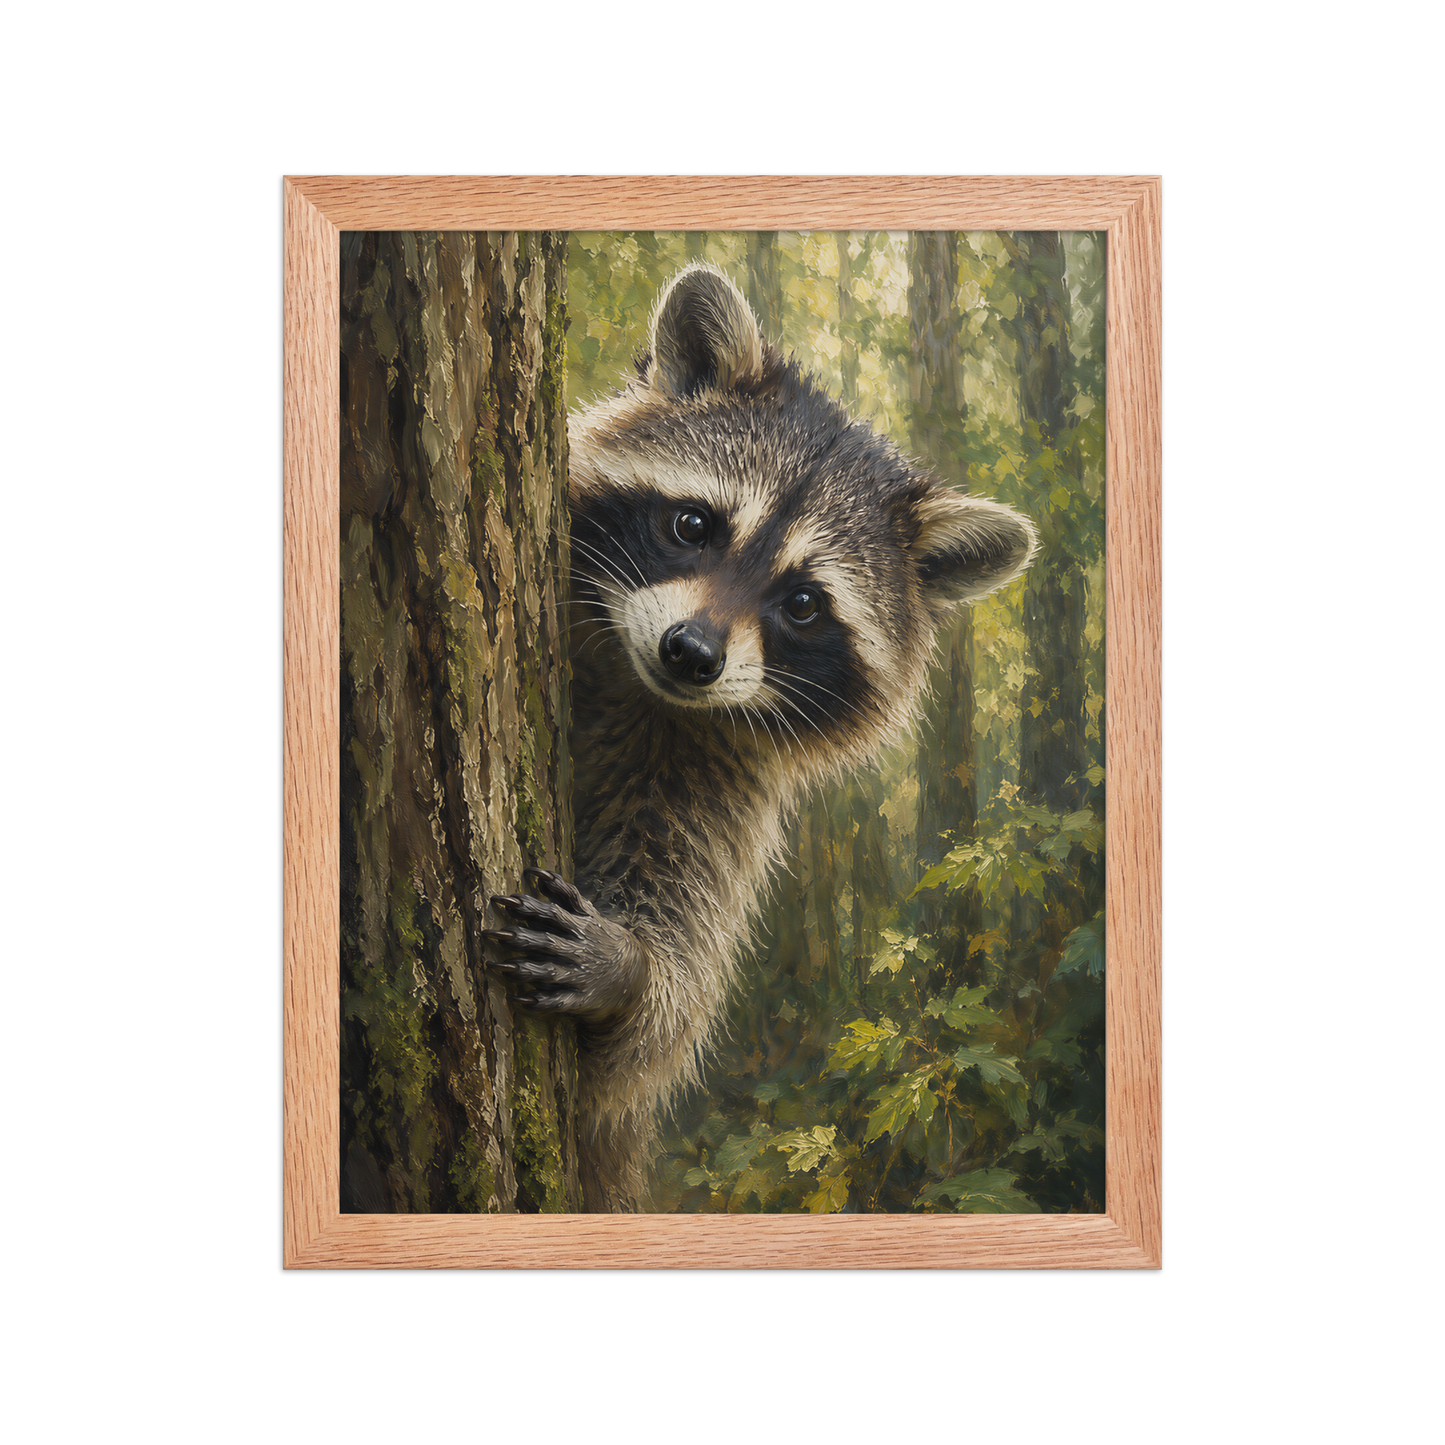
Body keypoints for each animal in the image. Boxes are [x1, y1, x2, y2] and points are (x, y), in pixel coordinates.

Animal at [483, 262, 1038, 1211]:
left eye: (804, 603)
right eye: (693, 525)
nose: (692, 652)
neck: (637, 686)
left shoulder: (716, 783)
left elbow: (651, 1032)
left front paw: (633, 973)